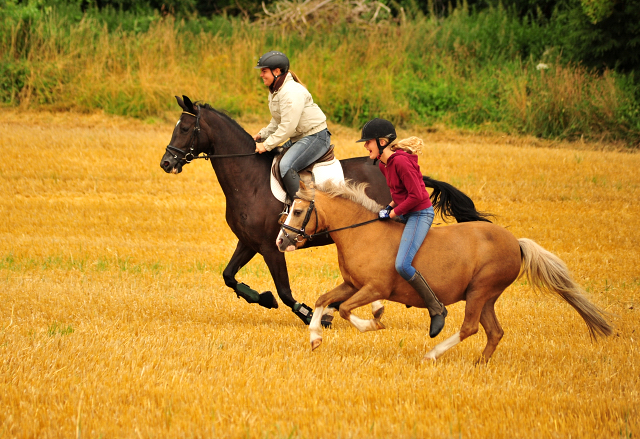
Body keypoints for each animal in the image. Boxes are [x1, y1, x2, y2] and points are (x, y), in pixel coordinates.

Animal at [162, 96, 492, 326]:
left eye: (187, 128)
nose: (167, 163)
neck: (249, 179)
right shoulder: (249, 242)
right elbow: (229, 276)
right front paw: (264, 299)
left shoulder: (270, 246)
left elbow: (284, 291)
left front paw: (309, 313)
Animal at [276, 180, 616, 362]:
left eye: (298, 210)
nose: (281, 240)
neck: (361, 232)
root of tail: (516, 243)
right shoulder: (351, 284)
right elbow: (323, 300)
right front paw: (315, 338)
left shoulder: (375, 288)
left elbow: (346, 310)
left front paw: (374, 324)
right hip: (486, 296)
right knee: (494, 332)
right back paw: (479, 364)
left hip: (480, 290)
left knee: (470, 328)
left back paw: (433, 353)